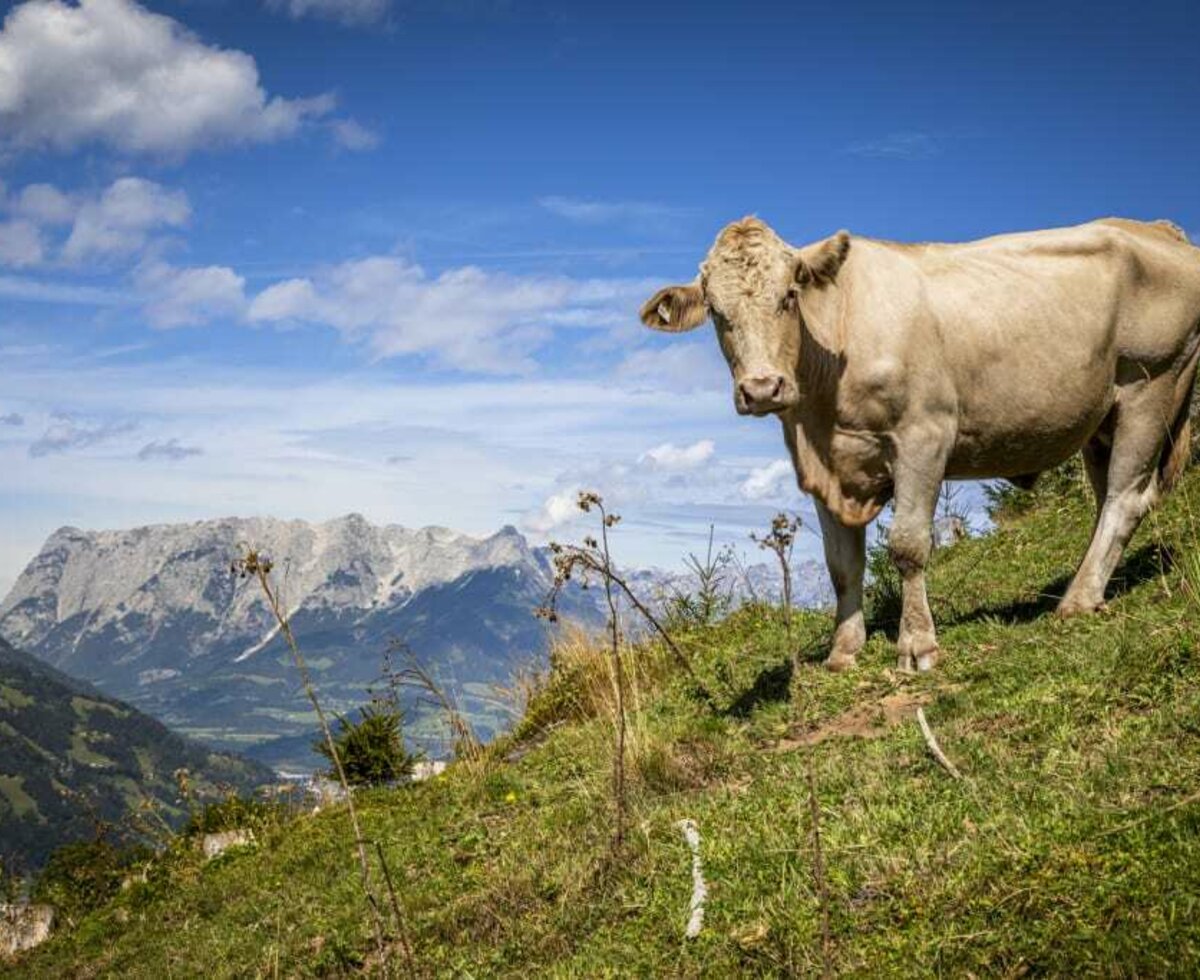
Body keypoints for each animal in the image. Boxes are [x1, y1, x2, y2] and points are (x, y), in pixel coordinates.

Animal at [643, 213, 1200, 671]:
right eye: (716, 311)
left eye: (789, 296)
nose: (762, 388)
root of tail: (1159, 230)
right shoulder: (825, 466)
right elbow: (842, 565)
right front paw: (843, 650)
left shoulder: (923, 437)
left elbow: (908, 545)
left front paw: (916, 644)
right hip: (1100, 418)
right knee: (1106, 497)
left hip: (1152, 383)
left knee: (1126, 498)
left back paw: (1078, 599)